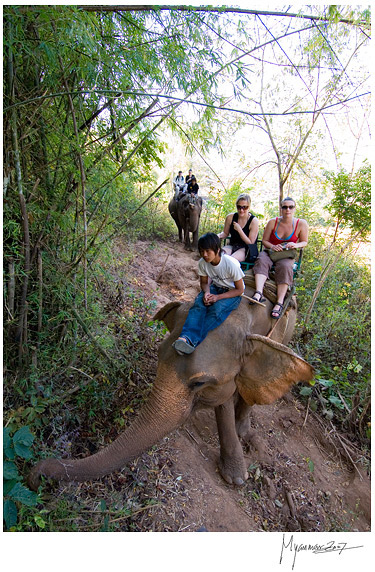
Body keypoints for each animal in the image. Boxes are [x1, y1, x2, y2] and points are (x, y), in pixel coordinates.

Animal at [27, 278, 314, 492]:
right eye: (157, 355)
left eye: (199, 382)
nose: (35, 476)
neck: (237, 312)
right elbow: (223, 401)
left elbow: (230, 395)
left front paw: (236, 479)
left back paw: (244, 430)